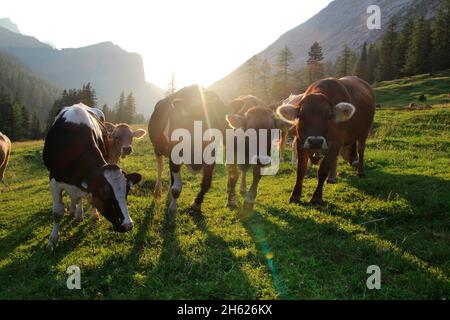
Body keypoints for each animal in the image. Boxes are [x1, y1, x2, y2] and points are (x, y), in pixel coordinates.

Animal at [43, 102, 142, 248]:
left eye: (126, 191)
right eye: (103, 193)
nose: (128, 225)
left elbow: (86, 198)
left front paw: (92, 215)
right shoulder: (54, 179)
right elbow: (57, 212)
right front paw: (53, 239)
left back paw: (79, 214)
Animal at [149, 85, 229, 214]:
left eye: (219, 124)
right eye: (192, 121)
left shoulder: (210, 158)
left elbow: (206, 183)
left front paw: (196, 203)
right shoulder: (174, 155)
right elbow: (176, 188)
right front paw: (172, 209)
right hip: (157, 148)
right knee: (160, 168)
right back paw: (157, 191)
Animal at [278, 76, 376, 204]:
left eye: (329, 116)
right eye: (301, 116)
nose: (315, 141)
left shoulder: (336, 142)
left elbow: (323, 169)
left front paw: (317, 197)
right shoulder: (301, 141)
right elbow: (301, 169)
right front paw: (295, 195)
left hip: (365, 131)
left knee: (361, 150)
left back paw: (360, 172)